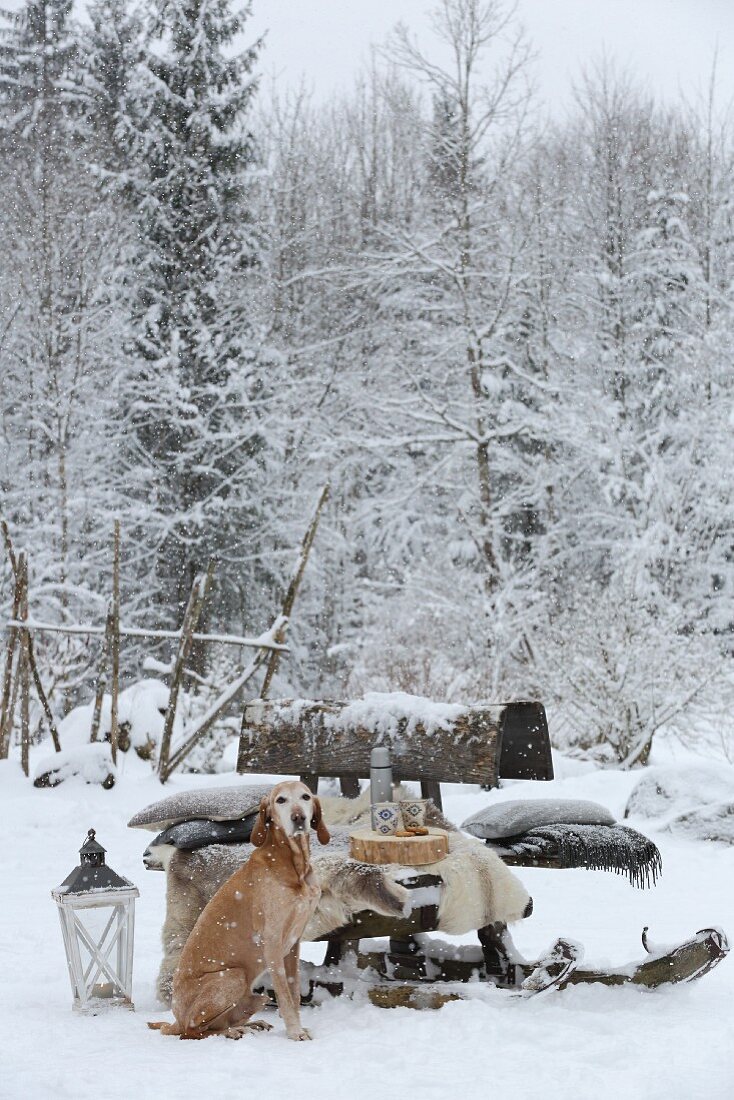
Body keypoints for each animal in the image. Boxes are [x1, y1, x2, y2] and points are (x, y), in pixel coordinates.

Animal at [148, 783, 330, 1038]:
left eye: (305, 796)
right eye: (281, 800)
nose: (298, 818)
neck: (293, 864)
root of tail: (176, 1019)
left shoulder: (293, 944)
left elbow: (294, 993)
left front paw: (297, 1027)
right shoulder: (272, 943)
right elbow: (285, 996)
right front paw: (295, 1033)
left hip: (256, 996)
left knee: (218, 1023)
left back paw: (247, 1025)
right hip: (233, 976)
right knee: (193, 1030)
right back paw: (229, 1032)